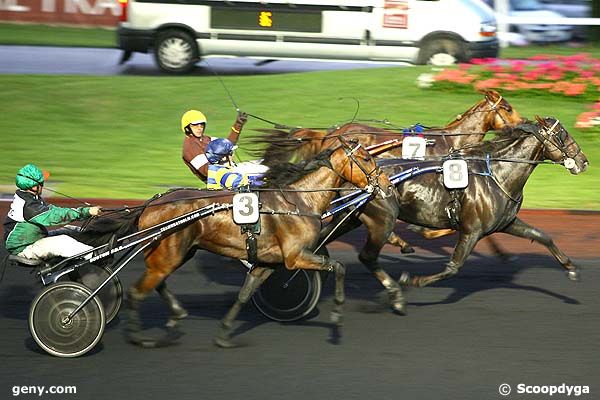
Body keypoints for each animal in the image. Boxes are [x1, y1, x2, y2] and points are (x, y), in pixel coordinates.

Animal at [119, 139, 394, 348]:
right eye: (366, 159)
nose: (388, 184)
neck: (298, 203)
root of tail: (150, 204)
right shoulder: (295, 257)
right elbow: (338, 266)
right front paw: (336, 316)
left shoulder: (268, 262)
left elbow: (244, 295)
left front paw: (224, 334)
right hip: (168, 256)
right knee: (137, 292)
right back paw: (139, 337)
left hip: (178, 254)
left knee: (157, 282)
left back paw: (175, 314)